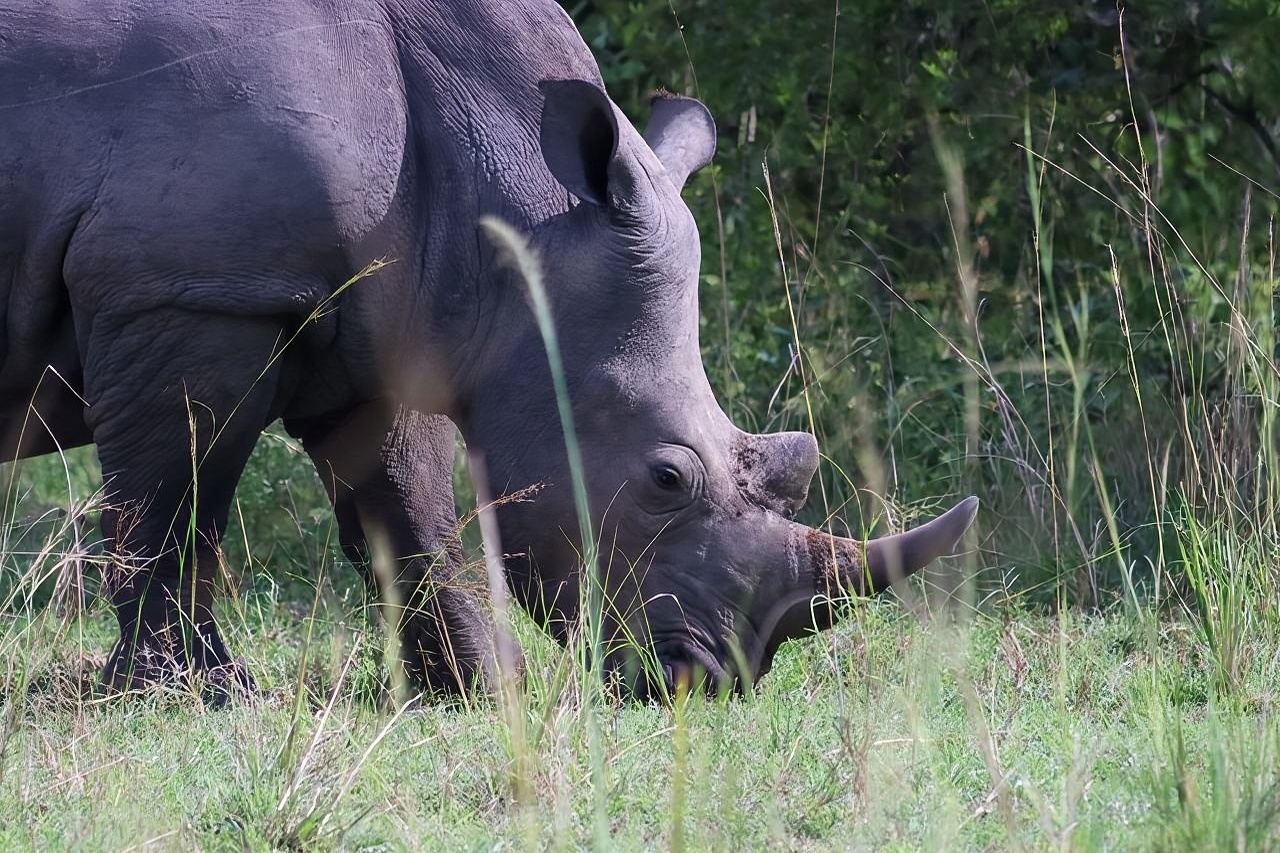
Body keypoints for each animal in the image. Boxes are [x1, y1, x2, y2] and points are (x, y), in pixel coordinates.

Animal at [0, 0, 976, 700]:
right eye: (666, 478)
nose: (706, 681)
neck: (508, 202)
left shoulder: (386, 321)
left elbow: (411, 511)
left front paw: (481, 687)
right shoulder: (193, 291)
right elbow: (177, 500)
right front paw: (196, 693)